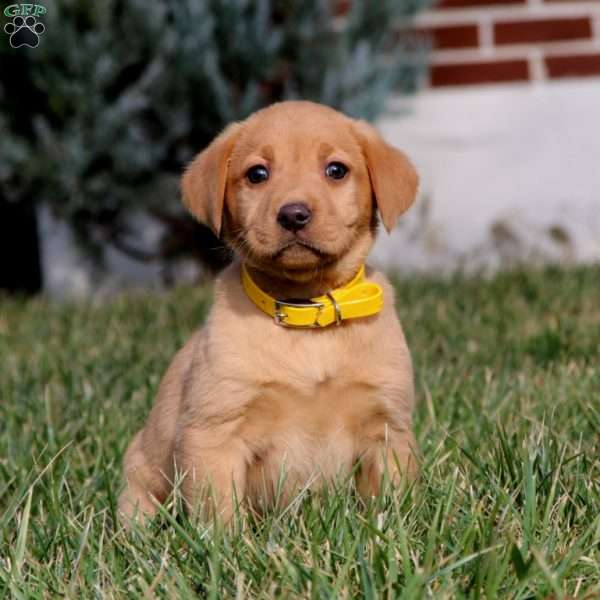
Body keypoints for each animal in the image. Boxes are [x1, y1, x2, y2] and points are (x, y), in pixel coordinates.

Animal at [117, 101, 418, 524]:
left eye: (336, 170)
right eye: (257, 174)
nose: (293, 214)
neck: (307, 316)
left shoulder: (388, 430)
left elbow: (391, 503)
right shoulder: (215, 433)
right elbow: (220, 513)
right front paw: (226, 542)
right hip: (141, 478)